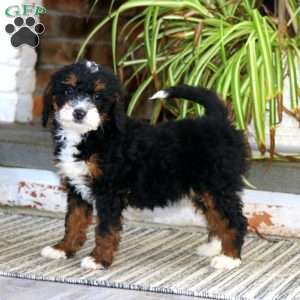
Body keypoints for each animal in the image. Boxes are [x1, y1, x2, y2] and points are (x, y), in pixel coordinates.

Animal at [41, 59, 250, 270]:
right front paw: (63, 248)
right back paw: (214, 248)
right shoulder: (76, 188)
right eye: (68, 91)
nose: (79, 112)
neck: (94, 133)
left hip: (217, 185)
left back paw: (229, 258)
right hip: (204, 188)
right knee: (216, 217)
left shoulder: (108, 191)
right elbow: (73, 221)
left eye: (98, 96)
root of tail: (218, 120)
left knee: (234, 219)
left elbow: (105, 229)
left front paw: (98, 259)